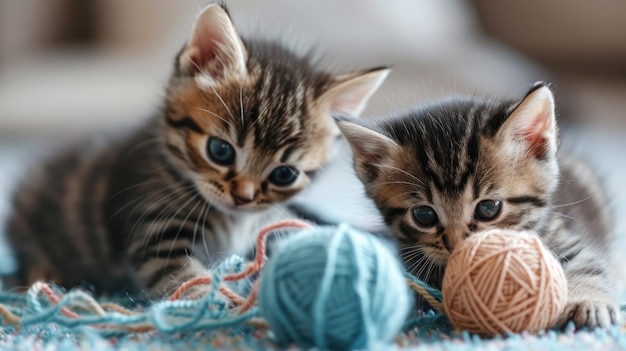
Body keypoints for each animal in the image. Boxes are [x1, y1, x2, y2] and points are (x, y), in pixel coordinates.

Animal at [3, 4, 386, 298]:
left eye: (284, 174)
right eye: (220, 151)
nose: (244, 198)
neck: (233, 222)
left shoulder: (268, 219)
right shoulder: (154, 235)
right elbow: (187, 279)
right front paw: (223, 308)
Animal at [334, 84, 616, 332]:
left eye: (488, 209)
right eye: (424, 215)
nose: (457, 245)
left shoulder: (562, 235)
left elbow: (586, 265)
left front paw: (588, 303)